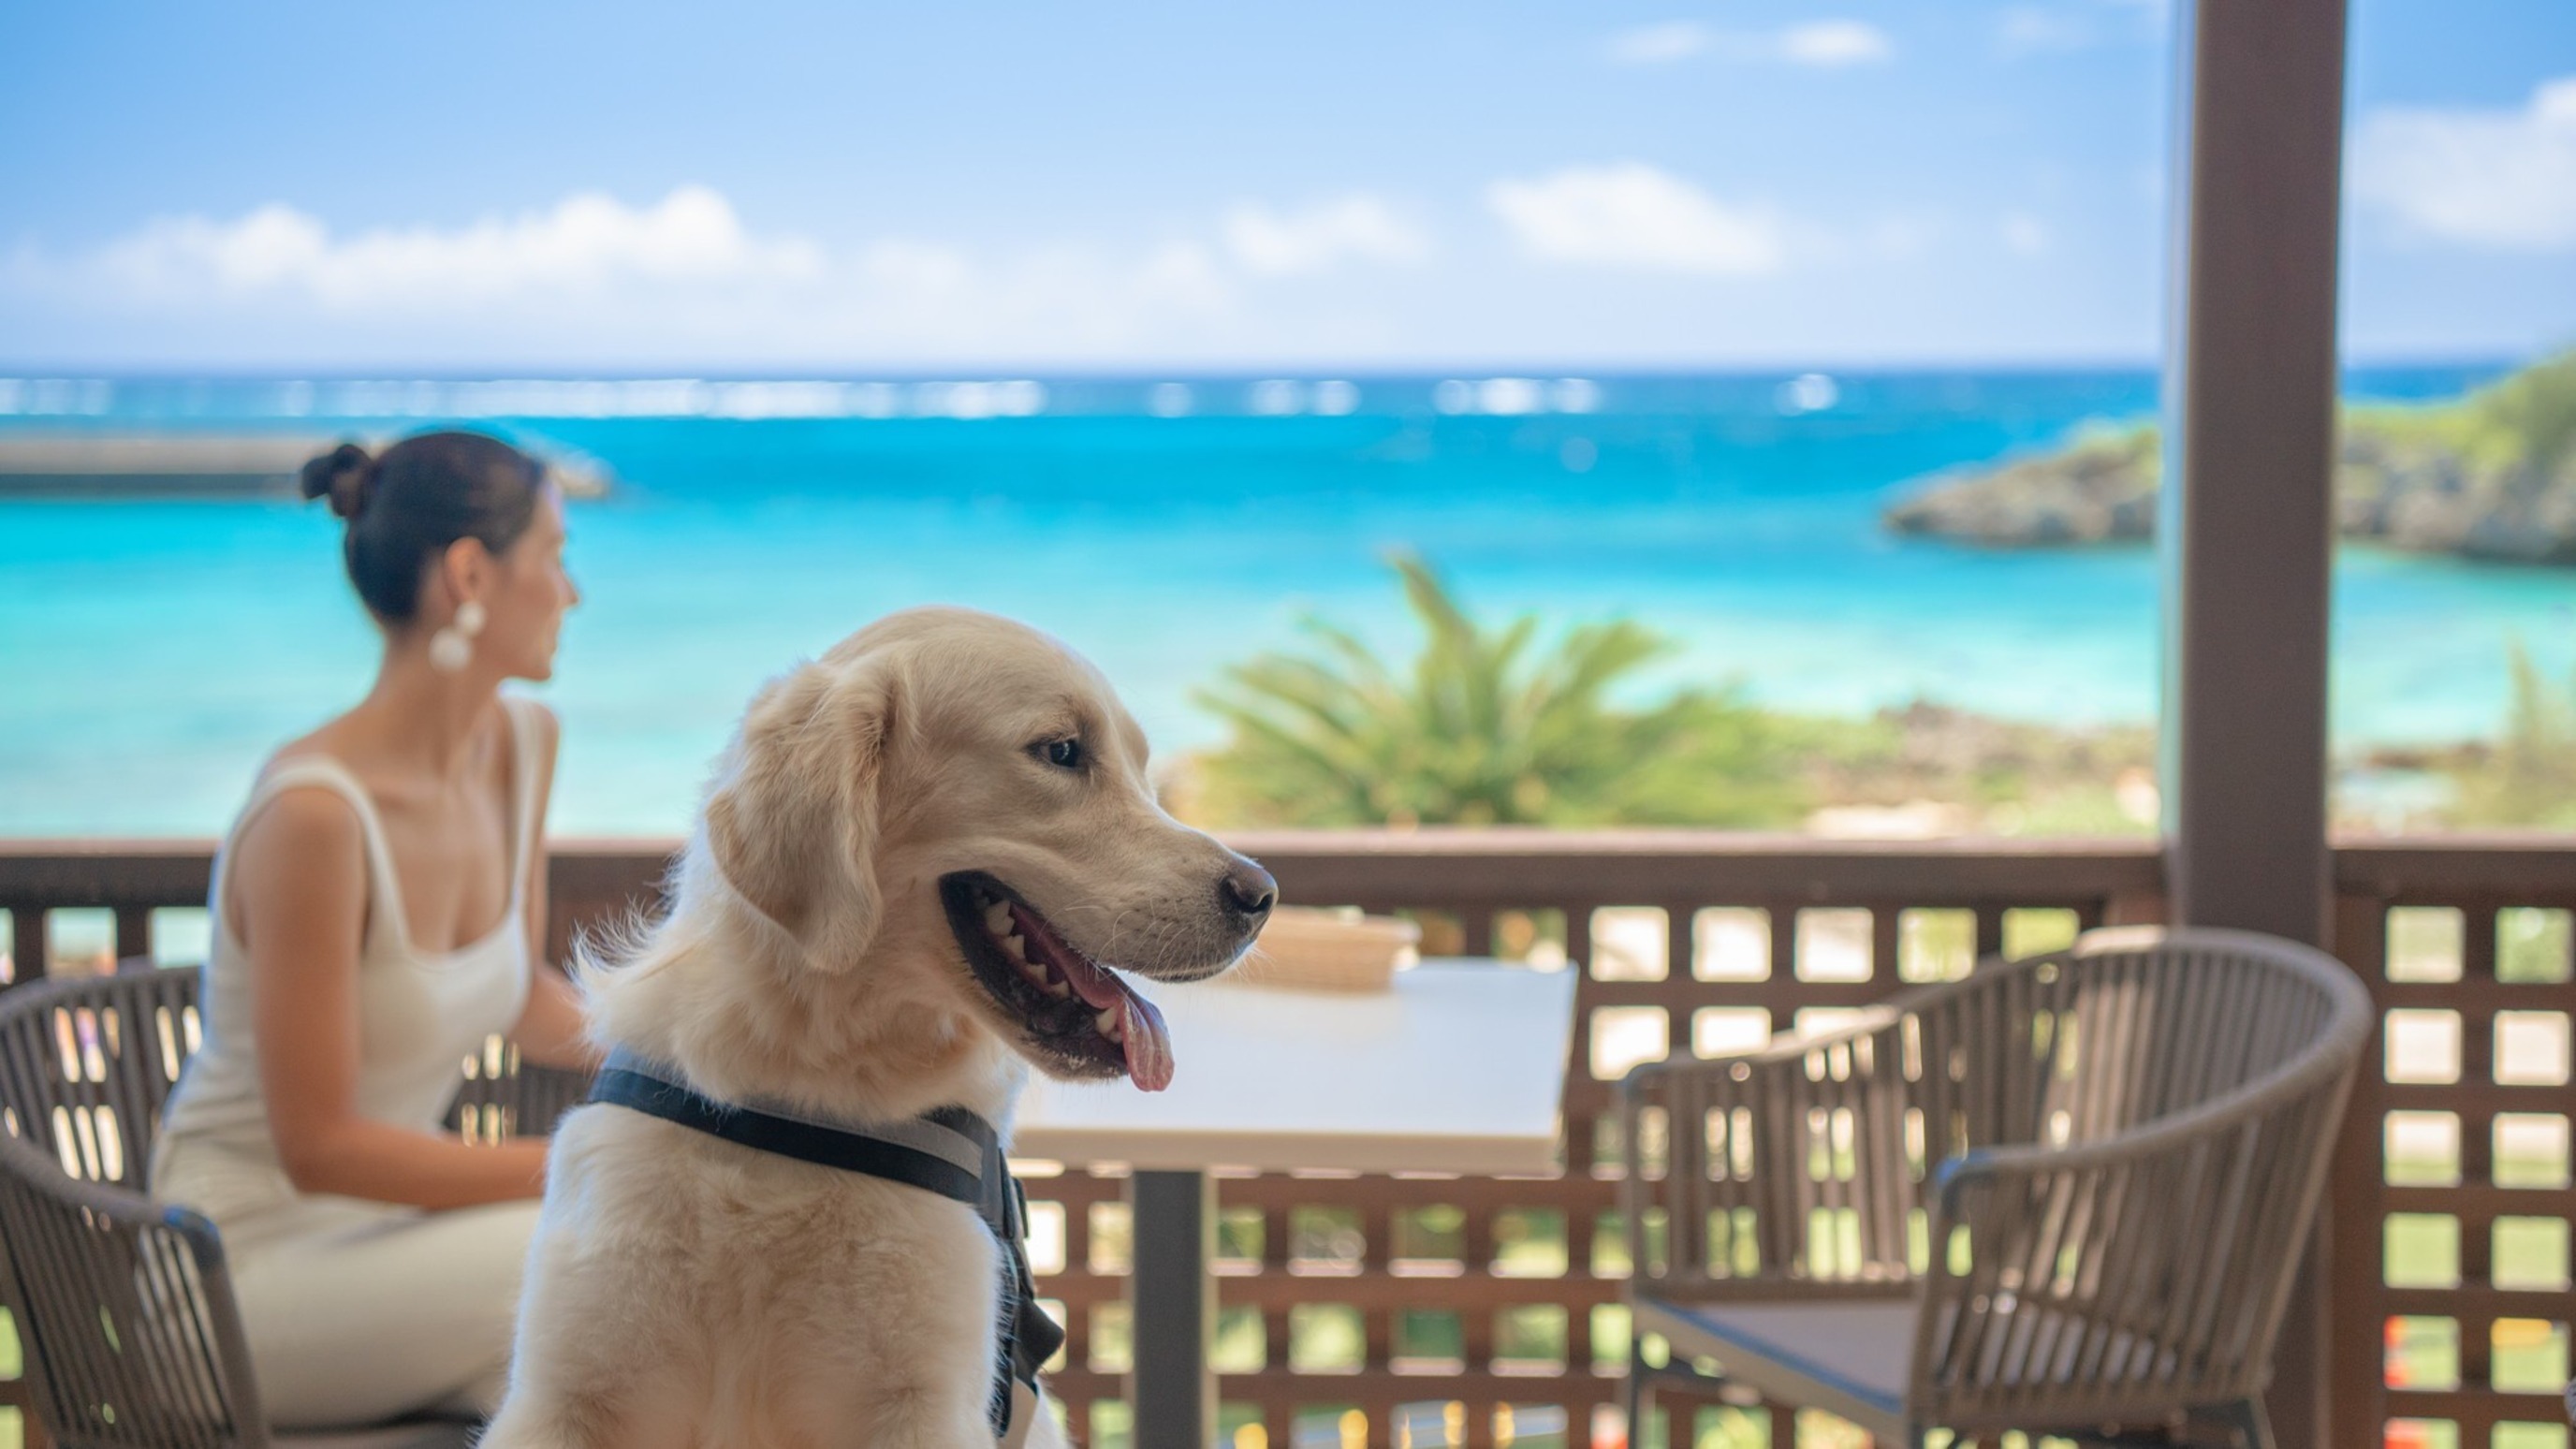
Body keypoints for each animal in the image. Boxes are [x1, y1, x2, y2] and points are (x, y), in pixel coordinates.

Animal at [478, 608, 1272, 1443]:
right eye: (1062, 751)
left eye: (1145, 773)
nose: (1261, 894)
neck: (810, 1093)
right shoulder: (563, 1398)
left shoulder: (926, 1406)